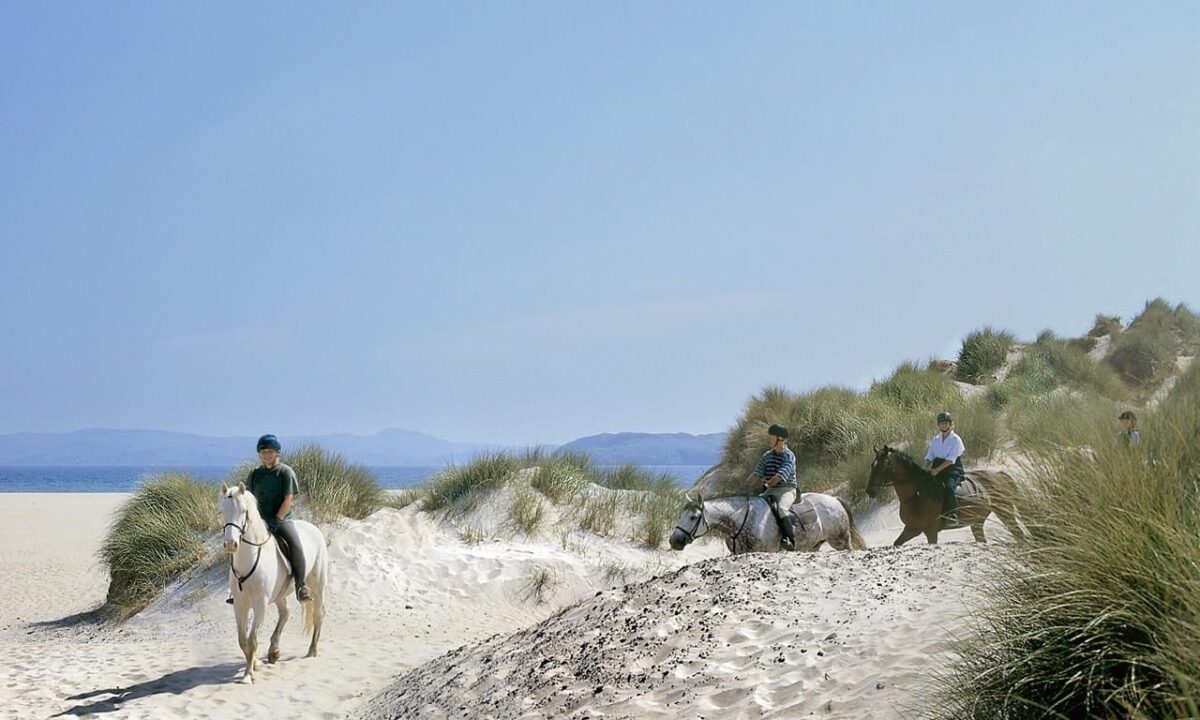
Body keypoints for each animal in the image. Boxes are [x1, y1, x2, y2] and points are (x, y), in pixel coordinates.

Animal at [218, 480, 326, 681]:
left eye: (244, 511)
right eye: (222, 511)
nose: (230, 544)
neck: (250, 558)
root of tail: (312, 527)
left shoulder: (261, 604)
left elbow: (252, 640)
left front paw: (248, 675)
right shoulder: (240, 605)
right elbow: (243, 641)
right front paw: (255, 665)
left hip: (317, 584)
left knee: (318, 614)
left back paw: (312, 650)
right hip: (279, 594)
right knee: (285, 613)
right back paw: (274, 651)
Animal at [868, 444, 1027, 544]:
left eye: (884, 465)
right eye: (872, 465)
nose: (870, 491)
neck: (917, 494)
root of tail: (999, 475)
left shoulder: (931, 531)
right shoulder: (912, 528)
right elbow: (897, 543)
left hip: (1005, 513)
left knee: (1019, 534)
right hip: (977, 522)